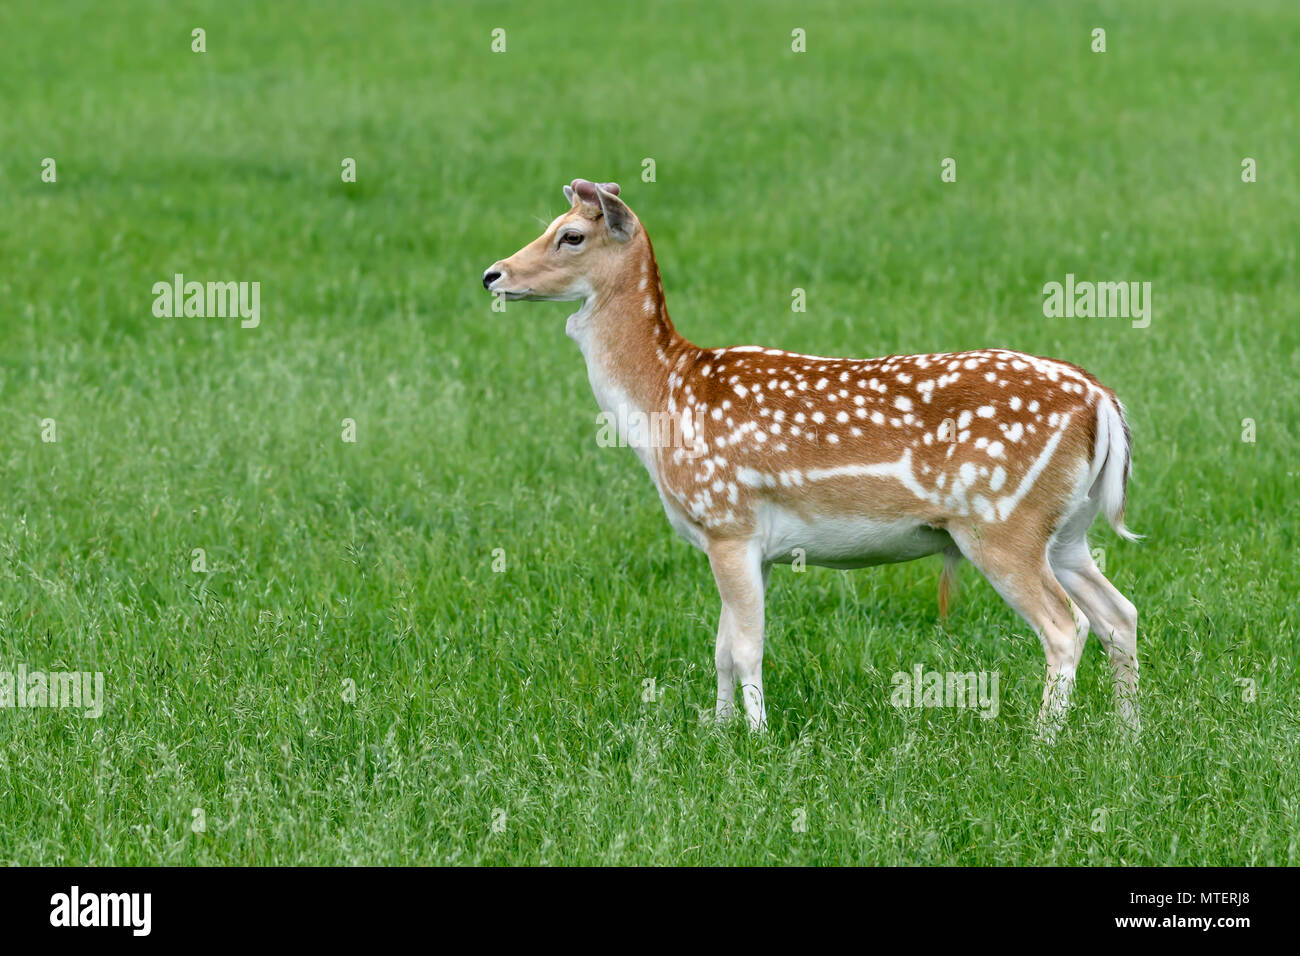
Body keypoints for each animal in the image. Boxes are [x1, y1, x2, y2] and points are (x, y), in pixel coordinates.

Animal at [483, 178, 1140, 739]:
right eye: (551, 225)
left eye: (571, 234)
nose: (493, 274)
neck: (665, 396)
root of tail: (1101, 402)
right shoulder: (748, 545)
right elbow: (721, 647)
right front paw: (717, 730)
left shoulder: (726, 519)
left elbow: (745, 646)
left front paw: (756, 738)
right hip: (1067, 529)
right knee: (1119, 613)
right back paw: (1127, 736)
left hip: (1003, 521)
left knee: (1066, 625)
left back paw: (1044, 740)